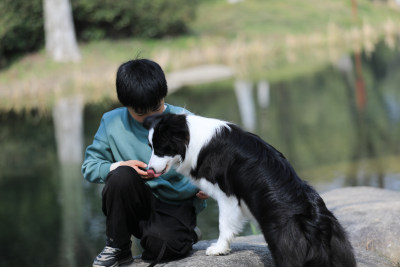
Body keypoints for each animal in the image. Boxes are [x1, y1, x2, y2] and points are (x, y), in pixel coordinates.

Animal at [144, 113, 356, 267]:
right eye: (151, 147)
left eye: (162, 148)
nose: (149, 170)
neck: (193, 137)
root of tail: (314, 221)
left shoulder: (226, 194)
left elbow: (224, 224)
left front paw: (218, 249)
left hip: (284, 246)